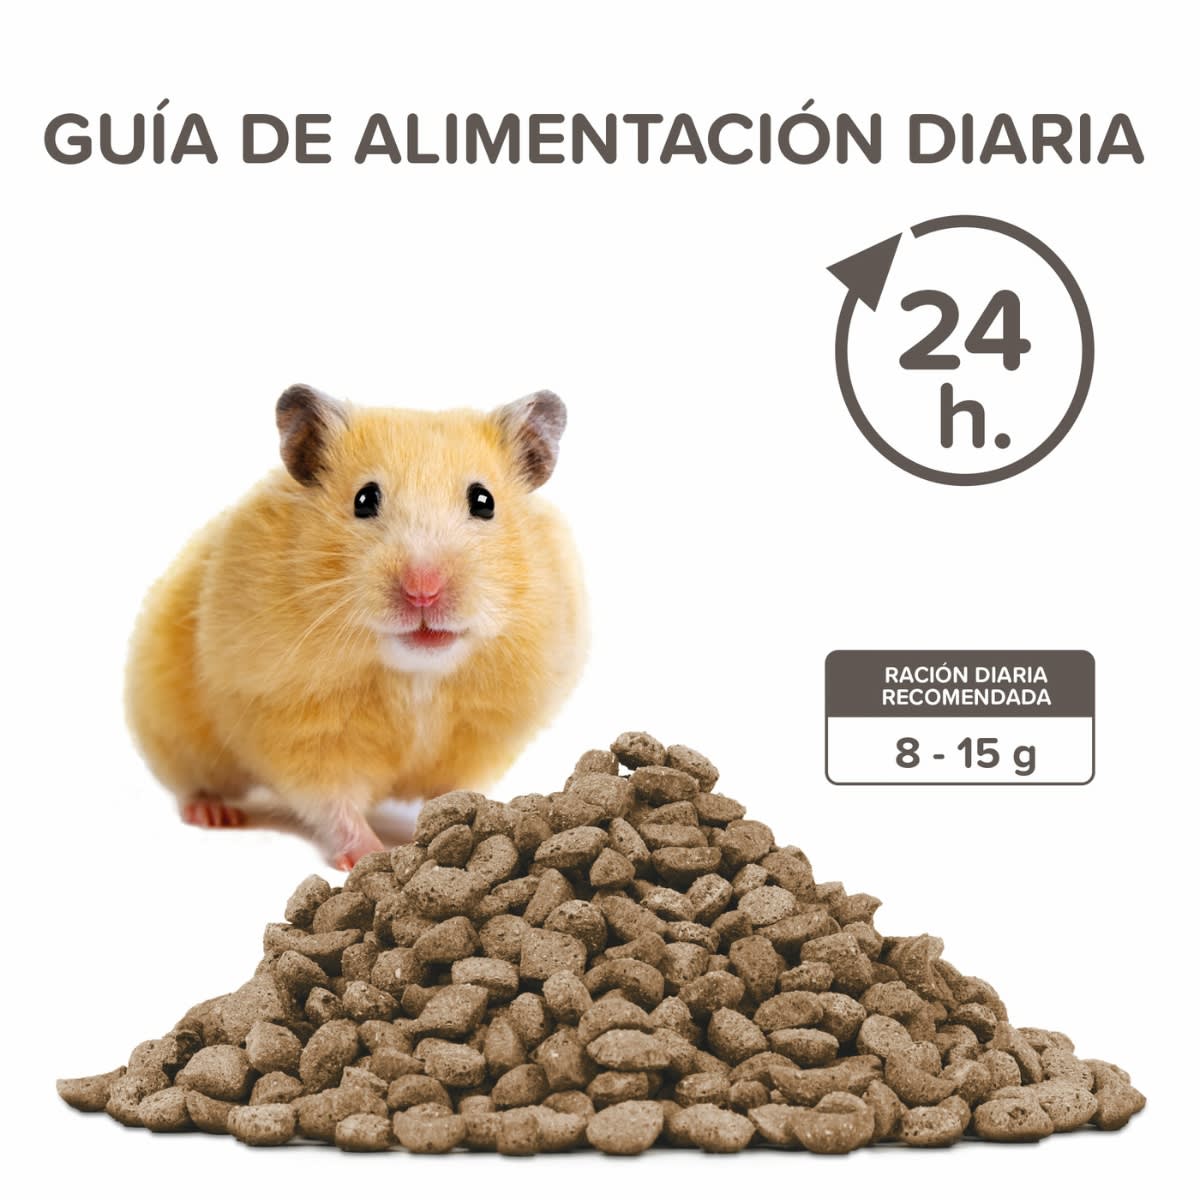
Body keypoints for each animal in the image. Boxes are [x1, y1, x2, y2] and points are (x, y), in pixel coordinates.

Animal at [125, 384, 587, 869]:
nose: (423, 590)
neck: (417, 674)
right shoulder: (298, 729)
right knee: (193, 783)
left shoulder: (482, 738)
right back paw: (213, 813)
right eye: (364, 500)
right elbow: (335, 802)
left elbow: (455, 791)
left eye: (484, 501)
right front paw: (368, 855)